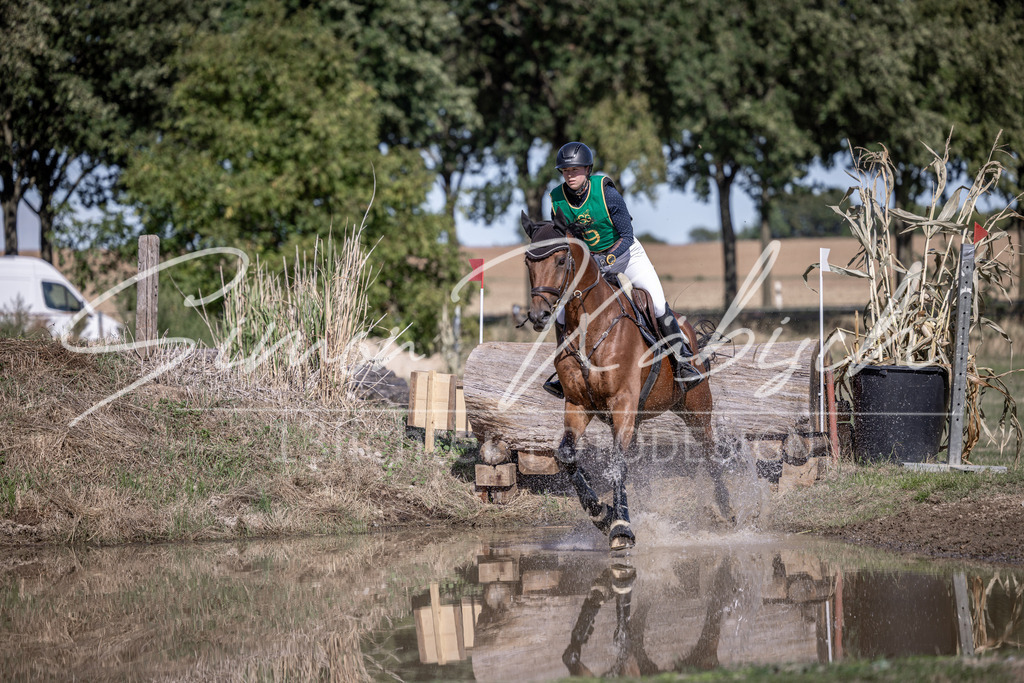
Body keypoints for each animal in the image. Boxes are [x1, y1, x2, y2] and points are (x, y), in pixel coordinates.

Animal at [521, 210, 733, 551]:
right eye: (529, 262)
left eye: (561, 260)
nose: (539, 316)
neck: (589, 325)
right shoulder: (578, 405)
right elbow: (567, 456)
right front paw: (602, 514)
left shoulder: (622, 402)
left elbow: (617, 463)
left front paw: (621, 527)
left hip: (696, 408)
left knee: (710, 452)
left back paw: (725, 510)